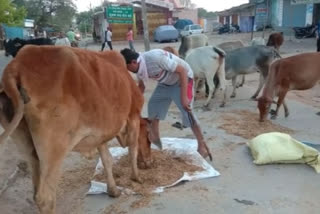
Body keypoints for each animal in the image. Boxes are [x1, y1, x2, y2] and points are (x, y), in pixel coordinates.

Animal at [0, 46, 151, 214]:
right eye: (149, 137)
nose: (149, 162)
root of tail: (17, 66)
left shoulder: (101, 134)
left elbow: (107, 160)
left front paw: (113, 190)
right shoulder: (133, 116)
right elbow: (133, 149)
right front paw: (137, 178)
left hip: (26, 145)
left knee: (35, 189)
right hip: (55, 147)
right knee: (45, 198)